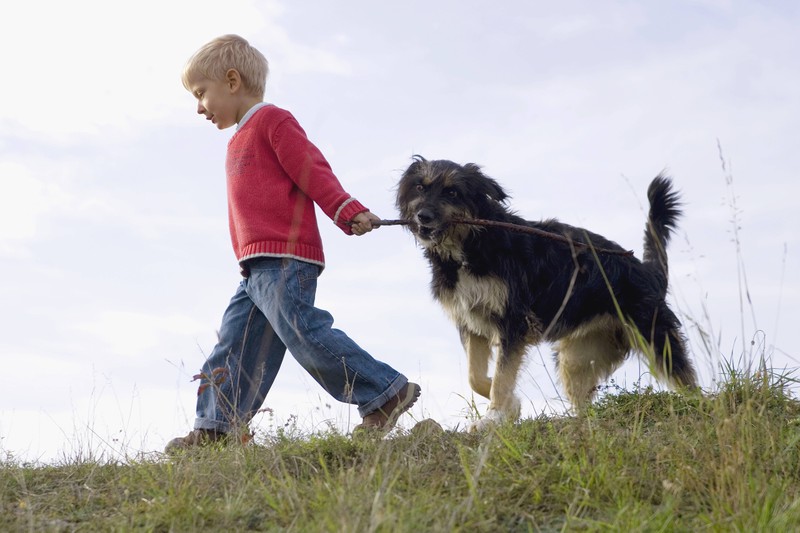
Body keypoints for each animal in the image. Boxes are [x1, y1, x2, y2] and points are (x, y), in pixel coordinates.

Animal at [396, 156, 696, 430]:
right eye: (420, 187)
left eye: (452, 192)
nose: (423, 216)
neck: (470, 245)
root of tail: (648, 271)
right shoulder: (472, 323)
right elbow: (477, 377)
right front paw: (511, 406)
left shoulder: (514, 321)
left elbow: (502, 376)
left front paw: (495, 416)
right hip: (576, 360)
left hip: (656, 338)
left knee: (687, 381)